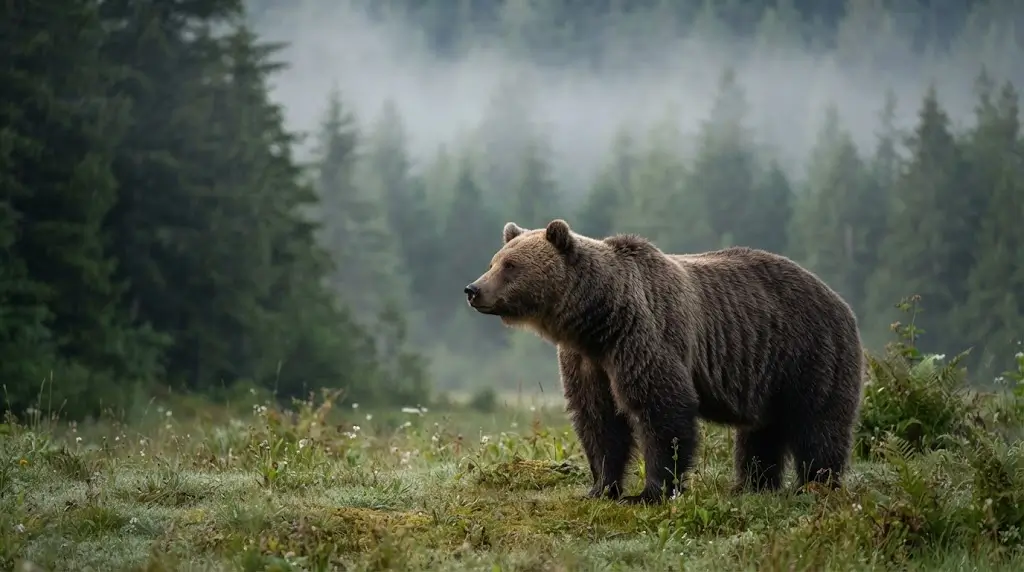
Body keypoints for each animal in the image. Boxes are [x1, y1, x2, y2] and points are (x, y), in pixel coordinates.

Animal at [463, 219, 866, 505]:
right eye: (494, 261)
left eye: (511, 265)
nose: (473, 289)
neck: (597, 319)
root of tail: (840, 301)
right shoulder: (586, 361)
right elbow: (597, 419)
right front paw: (599, 487)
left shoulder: (644, 336)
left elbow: (661, 408)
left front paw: (650, 492)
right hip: (770, 374)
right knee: (761, 433)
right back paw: (753, 484)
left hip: (809, 353)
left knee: (819, 424)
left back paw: (816, 484)